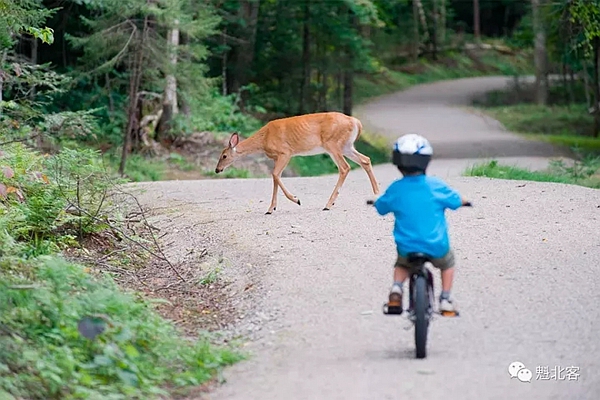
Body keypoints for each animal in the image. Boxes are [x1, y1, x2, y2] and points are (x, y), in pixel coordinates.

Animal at [214, 111, 380, 214]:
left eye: (224, 156)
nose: (217, 170)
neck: (264, 138)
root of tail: (357, 122)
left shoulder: (286, 152)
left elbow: (275, 174)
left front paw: (296, 200)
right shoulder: (276, 157)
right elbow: (275, 178)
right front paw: (271, 208)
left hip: (332, 143)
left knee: (345, 167)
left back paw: (328, 205)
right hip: (346, 146)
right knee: (365, 160)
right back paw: (377, 193)